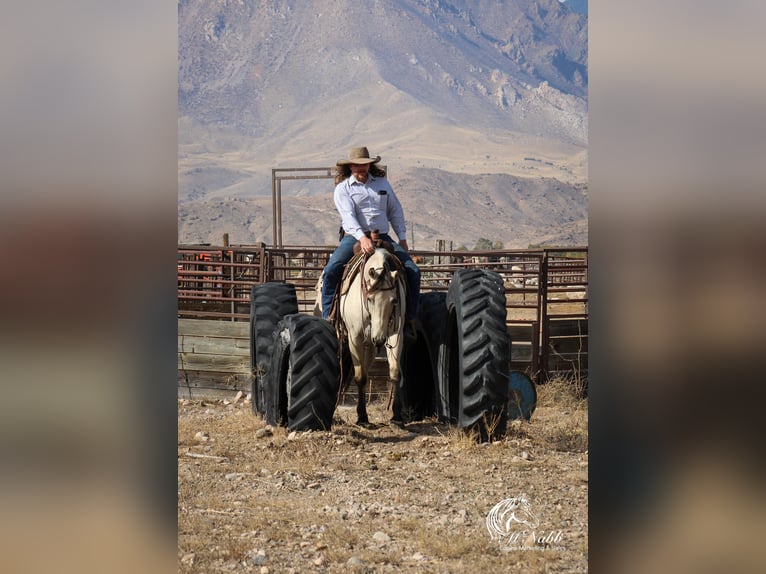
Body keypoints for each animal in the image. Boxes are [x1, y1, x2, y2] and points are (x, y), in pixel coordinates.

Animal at [314, 246, 408, 428]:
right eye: (370, 298)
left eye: (394, 301)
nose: (379, 339)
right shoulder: (354, 338)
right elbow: (360, 377)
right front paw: (362, 417)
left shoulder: (395, 334)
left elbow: (394, 373)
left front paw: (396, 416)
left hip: (370, 345)